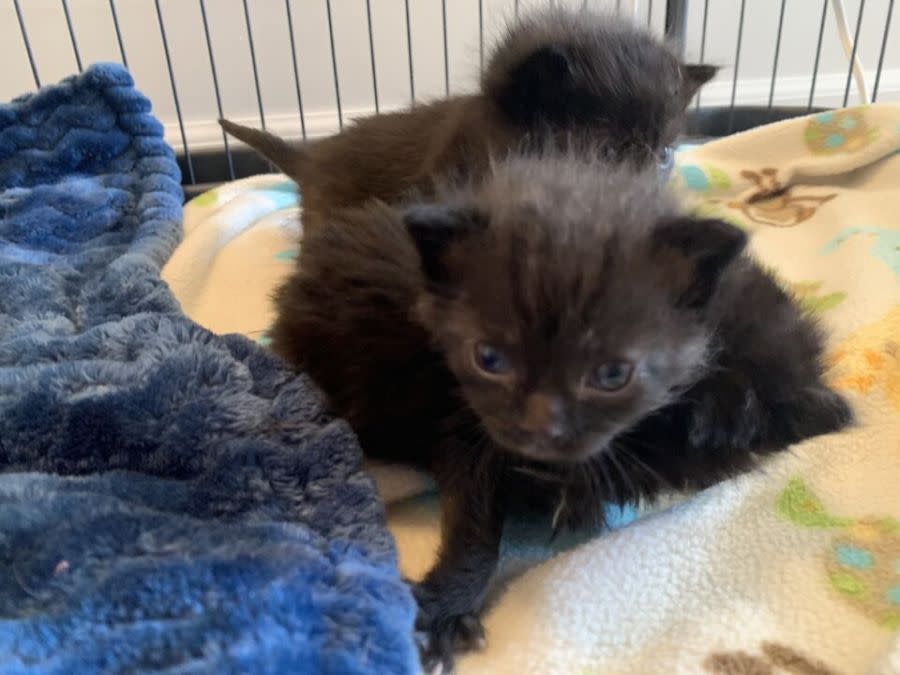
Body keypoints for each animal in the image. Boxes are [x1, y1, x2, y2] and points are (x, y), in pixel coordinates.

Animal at [270, 153, 856, 675]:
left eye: (614, 375)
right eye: (490, 360)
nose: (541, 428)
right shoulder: (467, 425)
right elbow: (475, 522)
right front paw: (444, 609)